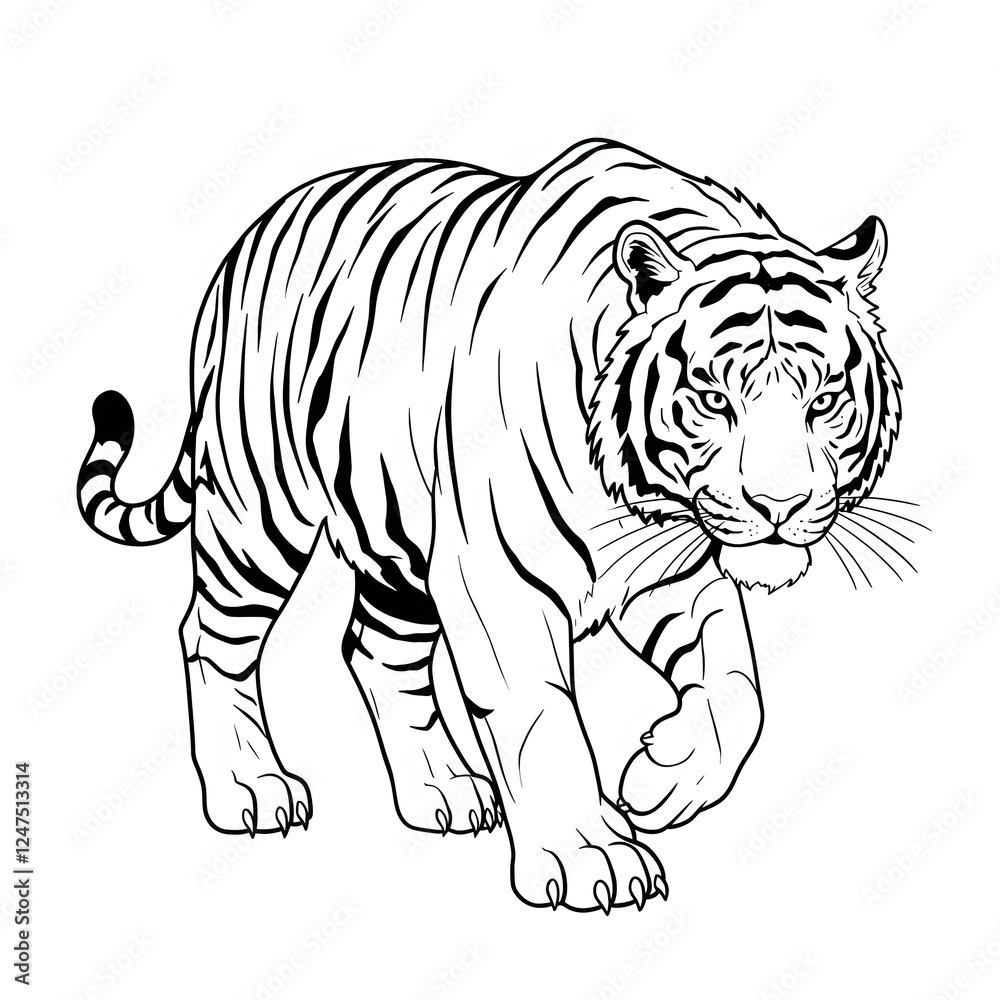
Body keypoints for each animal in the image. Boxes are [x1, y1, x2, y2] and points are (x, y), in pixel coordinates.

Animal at [77, 138, 901, 913]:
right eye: (713, 399)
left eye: (824, 400)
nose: (779, 506)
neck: (633, 492)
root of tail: (245, 244)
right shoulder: (499, 579)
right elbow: (541, 718)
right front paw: (589, 855)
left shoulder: (673, 574)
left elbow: (738, 691)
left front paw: (658, 781)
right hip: (258, 513)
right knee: (210, 638)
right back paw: (250, 789)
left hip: (397, 547)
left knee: (375, 651)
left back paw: (442, 790)